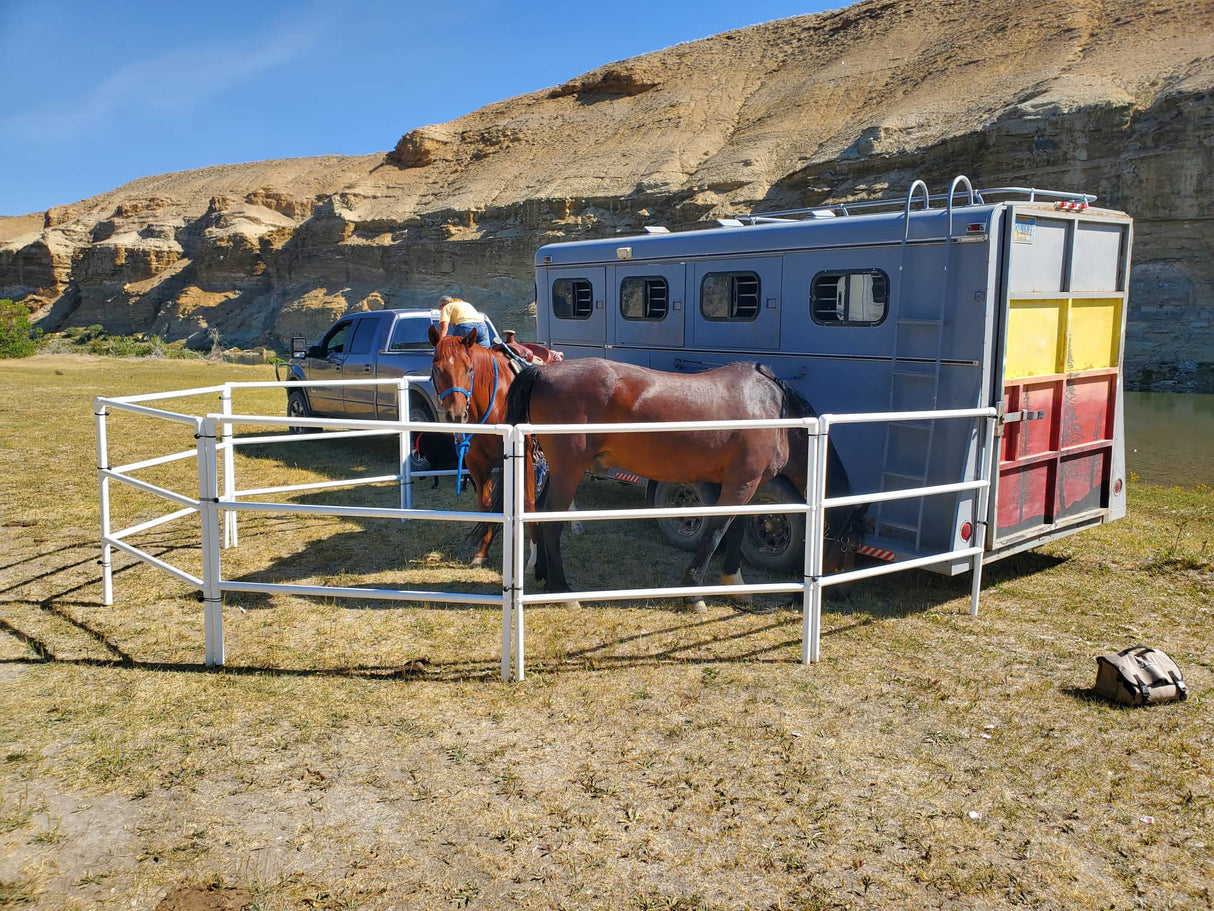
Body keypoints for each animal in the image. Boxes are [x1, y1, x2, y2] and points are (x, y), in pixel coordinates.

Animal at [503, 358, 865, 610]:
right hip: (570, 470)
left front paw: (736, 585)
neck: (775, 411)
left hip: (561, 471)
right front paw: (693, 596)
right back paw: (563, 593)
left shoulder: (743, 485)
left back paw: (542, 574)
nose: (845, 593)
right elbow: (716, 534)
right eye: (849, 541)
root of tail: (541, 372)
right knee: (552, 524)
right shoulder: (741, 484)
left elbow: (734, 530)